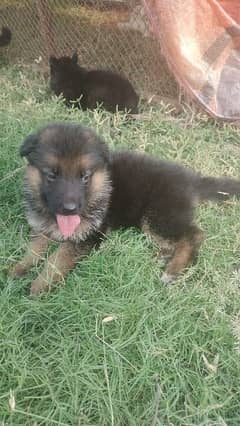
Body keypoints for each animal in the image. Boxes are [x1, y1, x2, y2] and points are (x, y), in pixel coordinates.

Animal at [9, 124, 240, 296]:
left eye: (85, 176)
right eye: (51, 175)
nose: (70, 209)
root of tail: (192, 181)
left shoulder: (88, 236)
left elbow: (57, 259)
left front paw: (39, 286)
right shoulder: (43, 227)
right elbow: (35, 247)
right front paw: (19, 268)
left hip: (157, 216)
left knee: (194, 234)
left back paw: (173, 269)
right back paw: (164, 257)